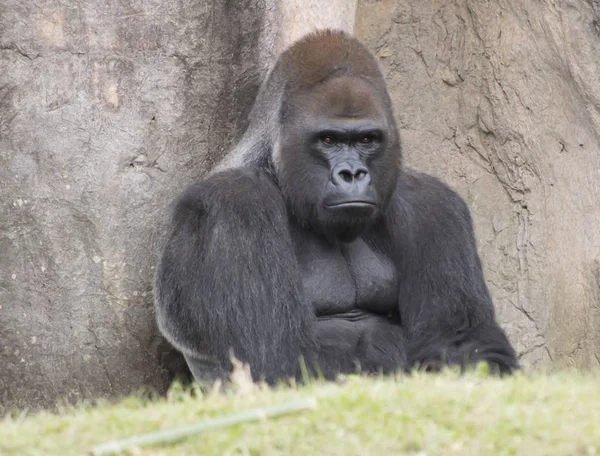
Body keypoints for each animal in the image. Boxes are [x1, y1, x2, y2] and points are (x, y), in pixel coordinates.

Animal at [154, 29, 516, 384]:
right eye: (328, 140)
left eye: (367, 139)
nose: (352, 174)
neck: (276, 171)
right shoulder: (232, 206)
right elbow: (278, 358)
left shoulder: (433, 206)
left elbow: (465, 343)